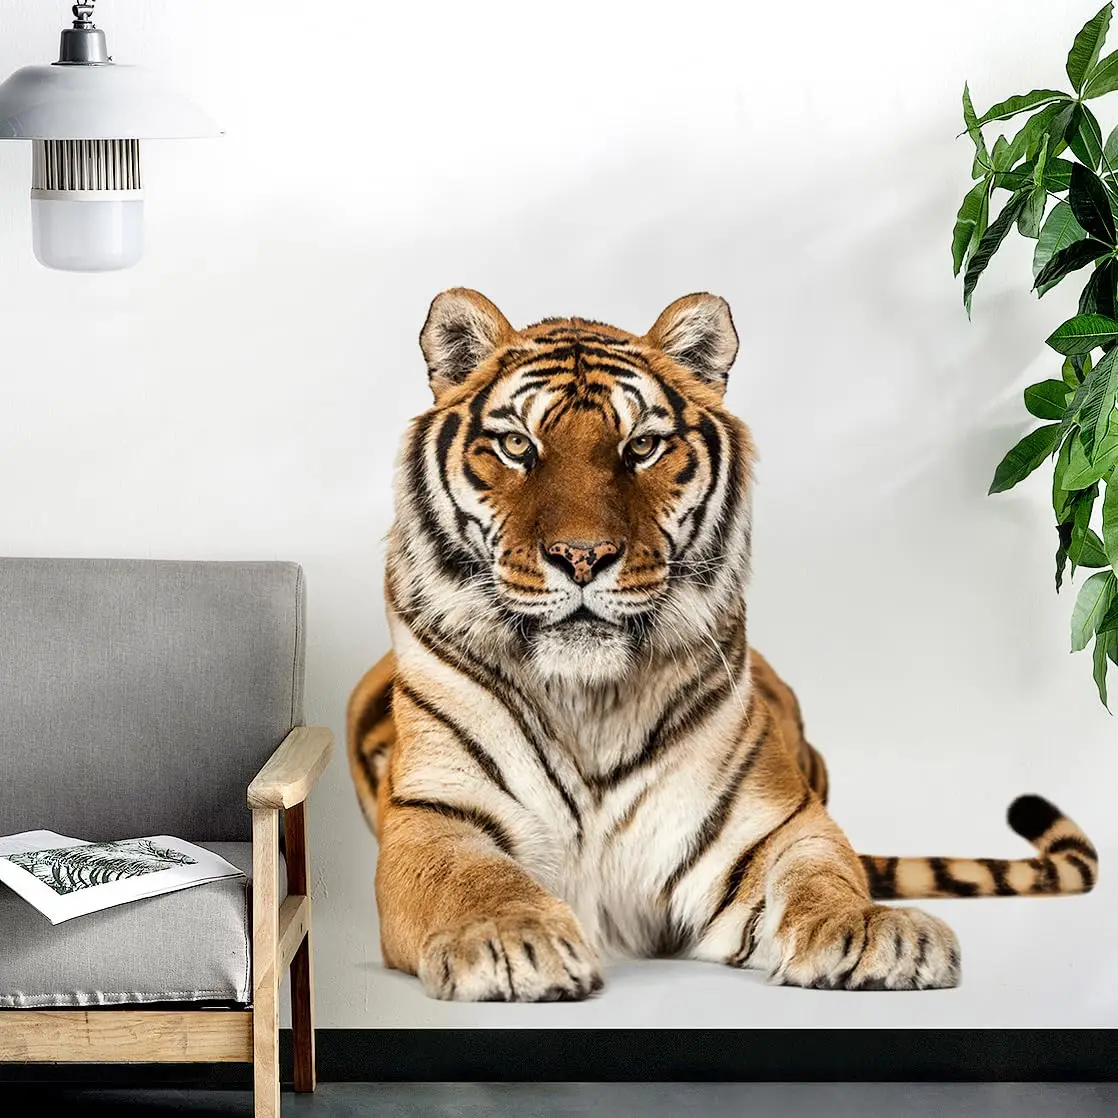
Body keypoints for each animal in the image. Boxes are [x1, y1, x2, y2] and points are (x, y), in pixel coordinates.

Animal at [347, 288, 1098, 1001]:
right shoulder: (434, 815)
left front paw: (873, 933)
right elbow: (468, 878)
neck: (588, 702)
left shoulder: (772, 823)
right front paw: (509, 940)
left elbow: (823, 874)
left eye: (641, 447)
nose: (583, 556)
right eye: (517, 447)